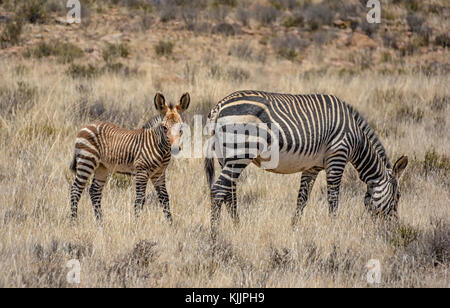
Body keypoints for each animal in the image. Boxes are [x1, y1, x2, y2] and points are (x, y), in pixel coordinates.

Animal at [69, 92, 191, 221]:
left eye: (181, 128)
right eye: (164, 127)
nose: (175, 149)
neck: (161, 149)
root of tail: (88, 125)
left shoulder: (159, 173)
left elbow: (165, 198)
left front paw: (170, 223)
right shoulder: (141, 171)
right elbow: (140, 199)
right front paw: (136, 223)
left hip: (102, 167)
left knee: (94, 191)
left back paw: (100, 222)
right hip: (86, 161)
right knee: (75, 190)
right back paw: (73, 222)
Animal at [206, 90, 410, 235]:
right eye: (398, 196)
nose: (396, 230)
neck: (356, 138)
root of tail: (219, 106)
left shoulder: (312, 167)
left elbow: (302, 199)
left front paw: (294, 228)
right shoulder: (338, 155)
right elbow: (333, 197)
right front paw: (334, 229)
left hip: (226, 157)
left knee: (229, 193)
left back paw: (237, 228)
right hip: (240, 154)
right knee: (218, 190)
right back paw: (215, 235)